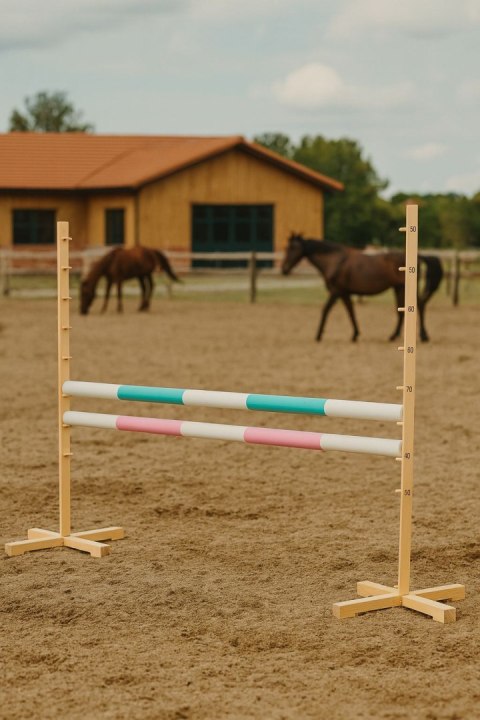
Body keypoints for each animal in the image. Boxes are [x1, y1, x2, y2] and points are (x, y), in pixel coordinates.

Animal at [281, 233, 443, 342]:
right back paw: (393, 336)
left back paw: (423, 336)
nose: (284, 269)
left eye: (292, 247)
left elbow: (326, 310)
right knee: (402, 311)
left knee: (420, 305)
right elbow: (351, 312)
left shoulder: (336, 291)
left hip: (405, 289)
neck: (335, 261)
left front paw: (318, 335)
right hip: (398, 288)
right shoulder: (345, 293)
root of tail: (418, 256)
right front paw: (355, 334)